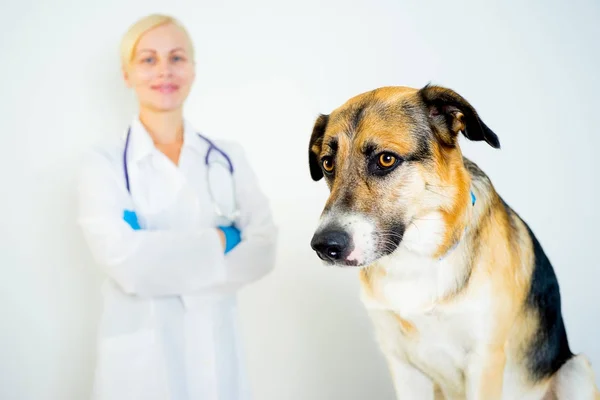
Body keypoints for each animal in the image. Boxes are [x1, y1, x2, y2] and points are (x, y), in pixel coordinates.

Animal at [308, 83, 596, 398]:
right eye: (327, 164)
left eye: (386, 159)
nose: (324, 247)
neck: (417, 260)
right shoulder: (402, 365)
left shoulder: (485, 360)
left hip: (576, 368)